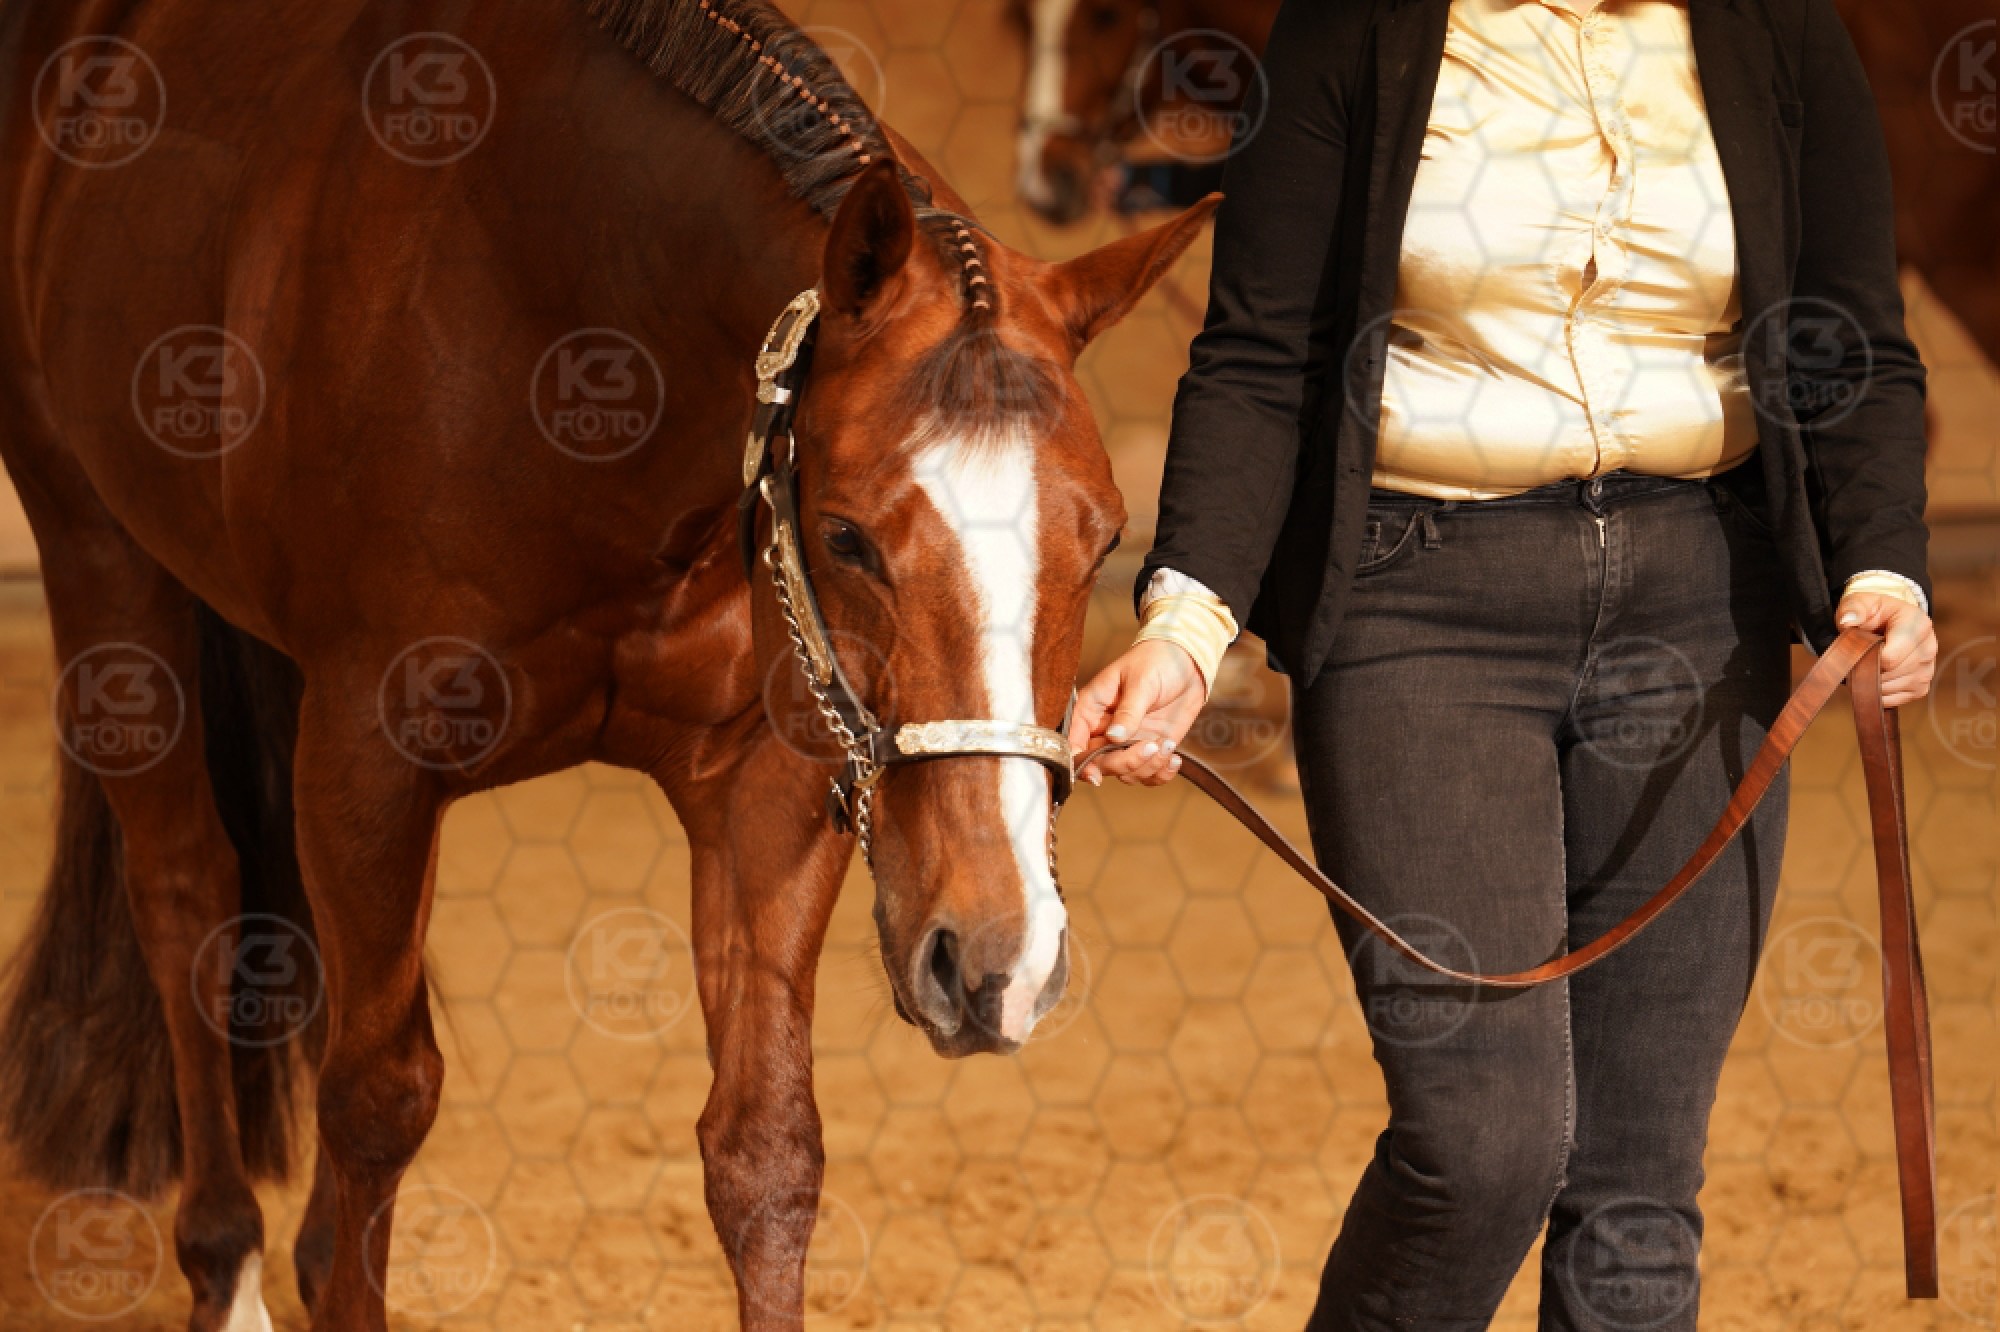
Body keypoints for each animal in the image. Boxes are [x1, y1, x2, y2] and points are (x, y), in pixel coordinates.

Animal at [0, 2, 1216, 1328]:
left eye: (1103, 537)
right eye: (845, 535)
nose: (999, 960)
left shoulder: (767, 783)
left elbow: (765, 1154)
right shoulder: (365, 767)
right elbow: (371, 1121)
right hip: (97, 553)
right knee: (185, 895)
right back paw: (223, 1267)